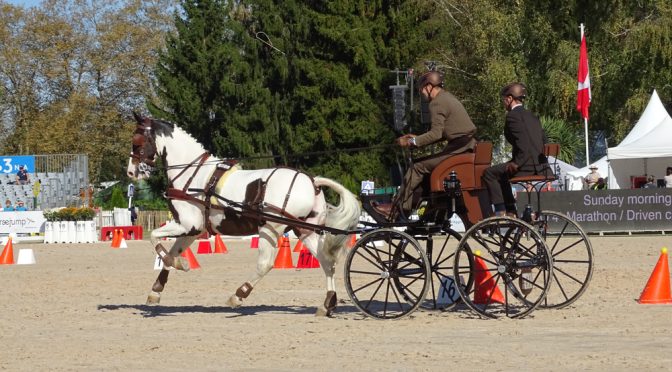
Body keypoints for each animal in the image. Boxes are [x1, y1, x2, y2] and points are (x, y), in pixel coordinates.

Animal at [124, 112, 360, 316]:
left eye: (137, 141)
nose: (130, 172)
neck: (192, 174)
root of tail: (313, 181)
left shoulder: (186, 224)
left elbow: (156, 240)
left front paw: (180, 264)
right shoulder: (193, 229)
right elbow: (171, 253)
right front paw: (156, 290)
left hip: (270, 228)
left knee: (266, 264)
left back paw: (238, 295)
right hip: (304, 230)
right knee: (326, 261)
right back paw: (327, 303)